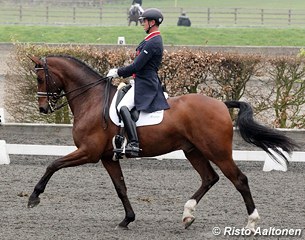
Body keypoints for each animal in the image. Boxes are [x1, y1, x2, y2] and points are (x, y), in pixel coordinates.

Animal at [27, 55, 294, 232]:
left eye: (40, 78)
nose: (43, 109)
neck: (91, 100)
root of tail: (220, 104)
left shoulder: (88, 152)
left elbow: (53, 165)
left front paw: (34, 197)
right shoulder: (106, 156)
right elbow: (120, 187)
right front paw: (127, 219)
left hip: (217, 151)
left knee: (239, 180)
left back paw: (251, 222)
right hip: (193, 150)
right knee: (209, 178)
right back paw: (188, 215)